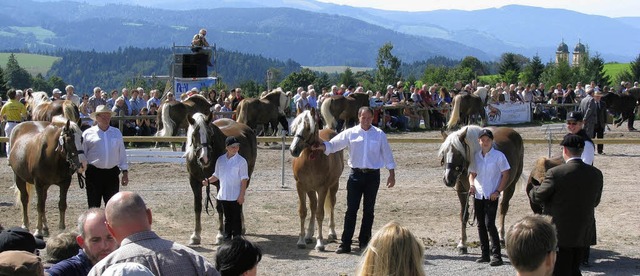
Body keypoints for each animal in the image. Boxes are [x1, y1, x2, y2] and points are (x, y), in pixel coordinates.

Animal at [184, 113, 256, 245]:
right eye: (194, 134)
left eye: (210, 133)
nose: (204, 158)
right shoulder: (194, 182)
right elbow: (197, 207)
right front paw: (195, 236)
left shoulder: (219, 183)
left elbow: (219, 207)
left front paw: (220, 235)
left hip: (246, 177)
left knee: (239, 201)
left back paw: (241, 228)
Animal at [288, 109, 342, 251]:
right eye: (295, 127)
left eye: (308, 127)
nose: (293, 150)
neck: (310, 159)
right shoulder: (301, 186)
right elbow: (303, 212)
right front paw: (301, 240)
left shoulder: (323, 188)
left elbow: (320, 213)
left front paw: (320, 242)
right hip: (311, 190)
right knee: (312, 206)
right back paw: (308, 234)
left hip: (334, 185)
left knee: (331, 205)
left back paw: (331, 233)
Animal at [438, 125, 524, 254]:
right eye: (444, 153)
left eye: (459, 153)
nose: (448, 179)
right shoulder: (462, 190)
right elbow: (464, 215)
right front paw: (462, 244)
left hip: (511, 185)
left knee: (503, 208)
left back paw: (501, 237)